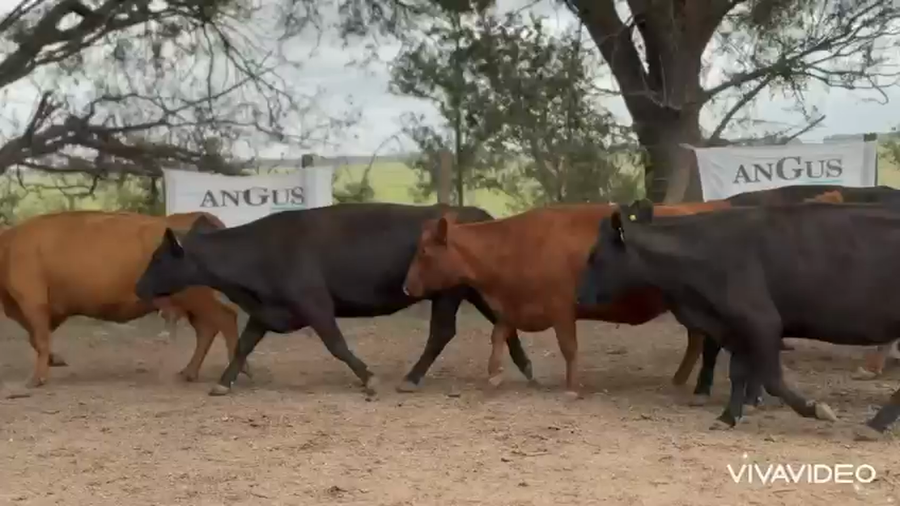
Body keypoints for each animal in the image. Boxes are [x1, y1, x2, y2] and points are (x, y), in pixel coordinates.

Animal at [0, 210, 247, 388]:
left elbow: (40, 340)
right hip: (193, 303)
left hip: (196, 299)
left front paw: (35, 379)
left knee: (225, 319)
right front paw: (54, 360)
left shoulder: (33, 302)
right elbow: (35, 339)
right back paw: (188, 372)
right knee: (207, 329)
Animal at [133, 203, 536, 398]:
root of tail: (474, 213)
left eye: (158, 258)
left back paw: (410, 378)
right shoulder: (265, 311)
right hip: (472, 290)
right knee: (502, 319)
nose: (138, 287)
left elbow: (336, 344)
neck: (260, 251)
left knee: (442, 332)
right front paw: (223, 382)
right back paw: (523, 368)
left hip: (448, 294)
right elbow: (245, 345)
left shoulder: (316, 305)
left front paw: (369, 379)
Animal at [576, 198, 900, 439]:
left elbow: (771, 379)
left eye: (594, 256)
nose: (578, 296)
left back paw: (875, 424)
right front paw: (727, 416)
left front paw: (816, 409)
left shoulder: (761, 321)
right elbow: (738, 373)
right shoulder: (734, 328)